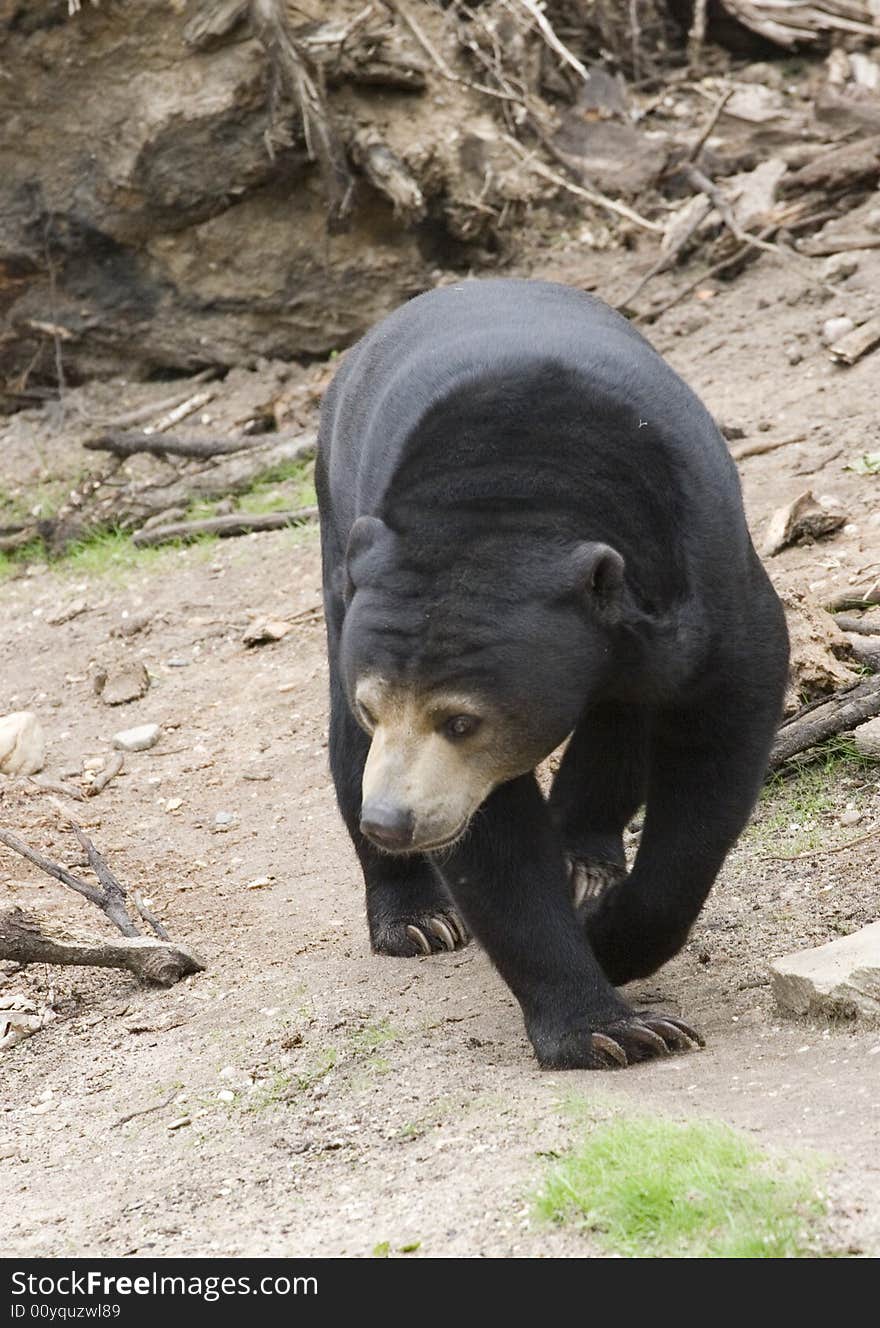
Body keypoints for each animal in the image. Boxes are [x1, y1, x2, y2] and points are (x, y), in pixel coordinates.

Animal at [318, 280, 791, 1067]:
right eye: (374, 708)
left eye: (460, 720)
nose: (391, 820)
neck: (518, 493)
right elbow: (492, 840)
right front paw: (611, 1028)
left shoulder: (706, 580)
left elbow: (716, 748)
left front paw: (614, 938)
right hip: (338, 539)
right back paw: (416, 918)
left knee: (621, 721)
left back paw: (583, 857)